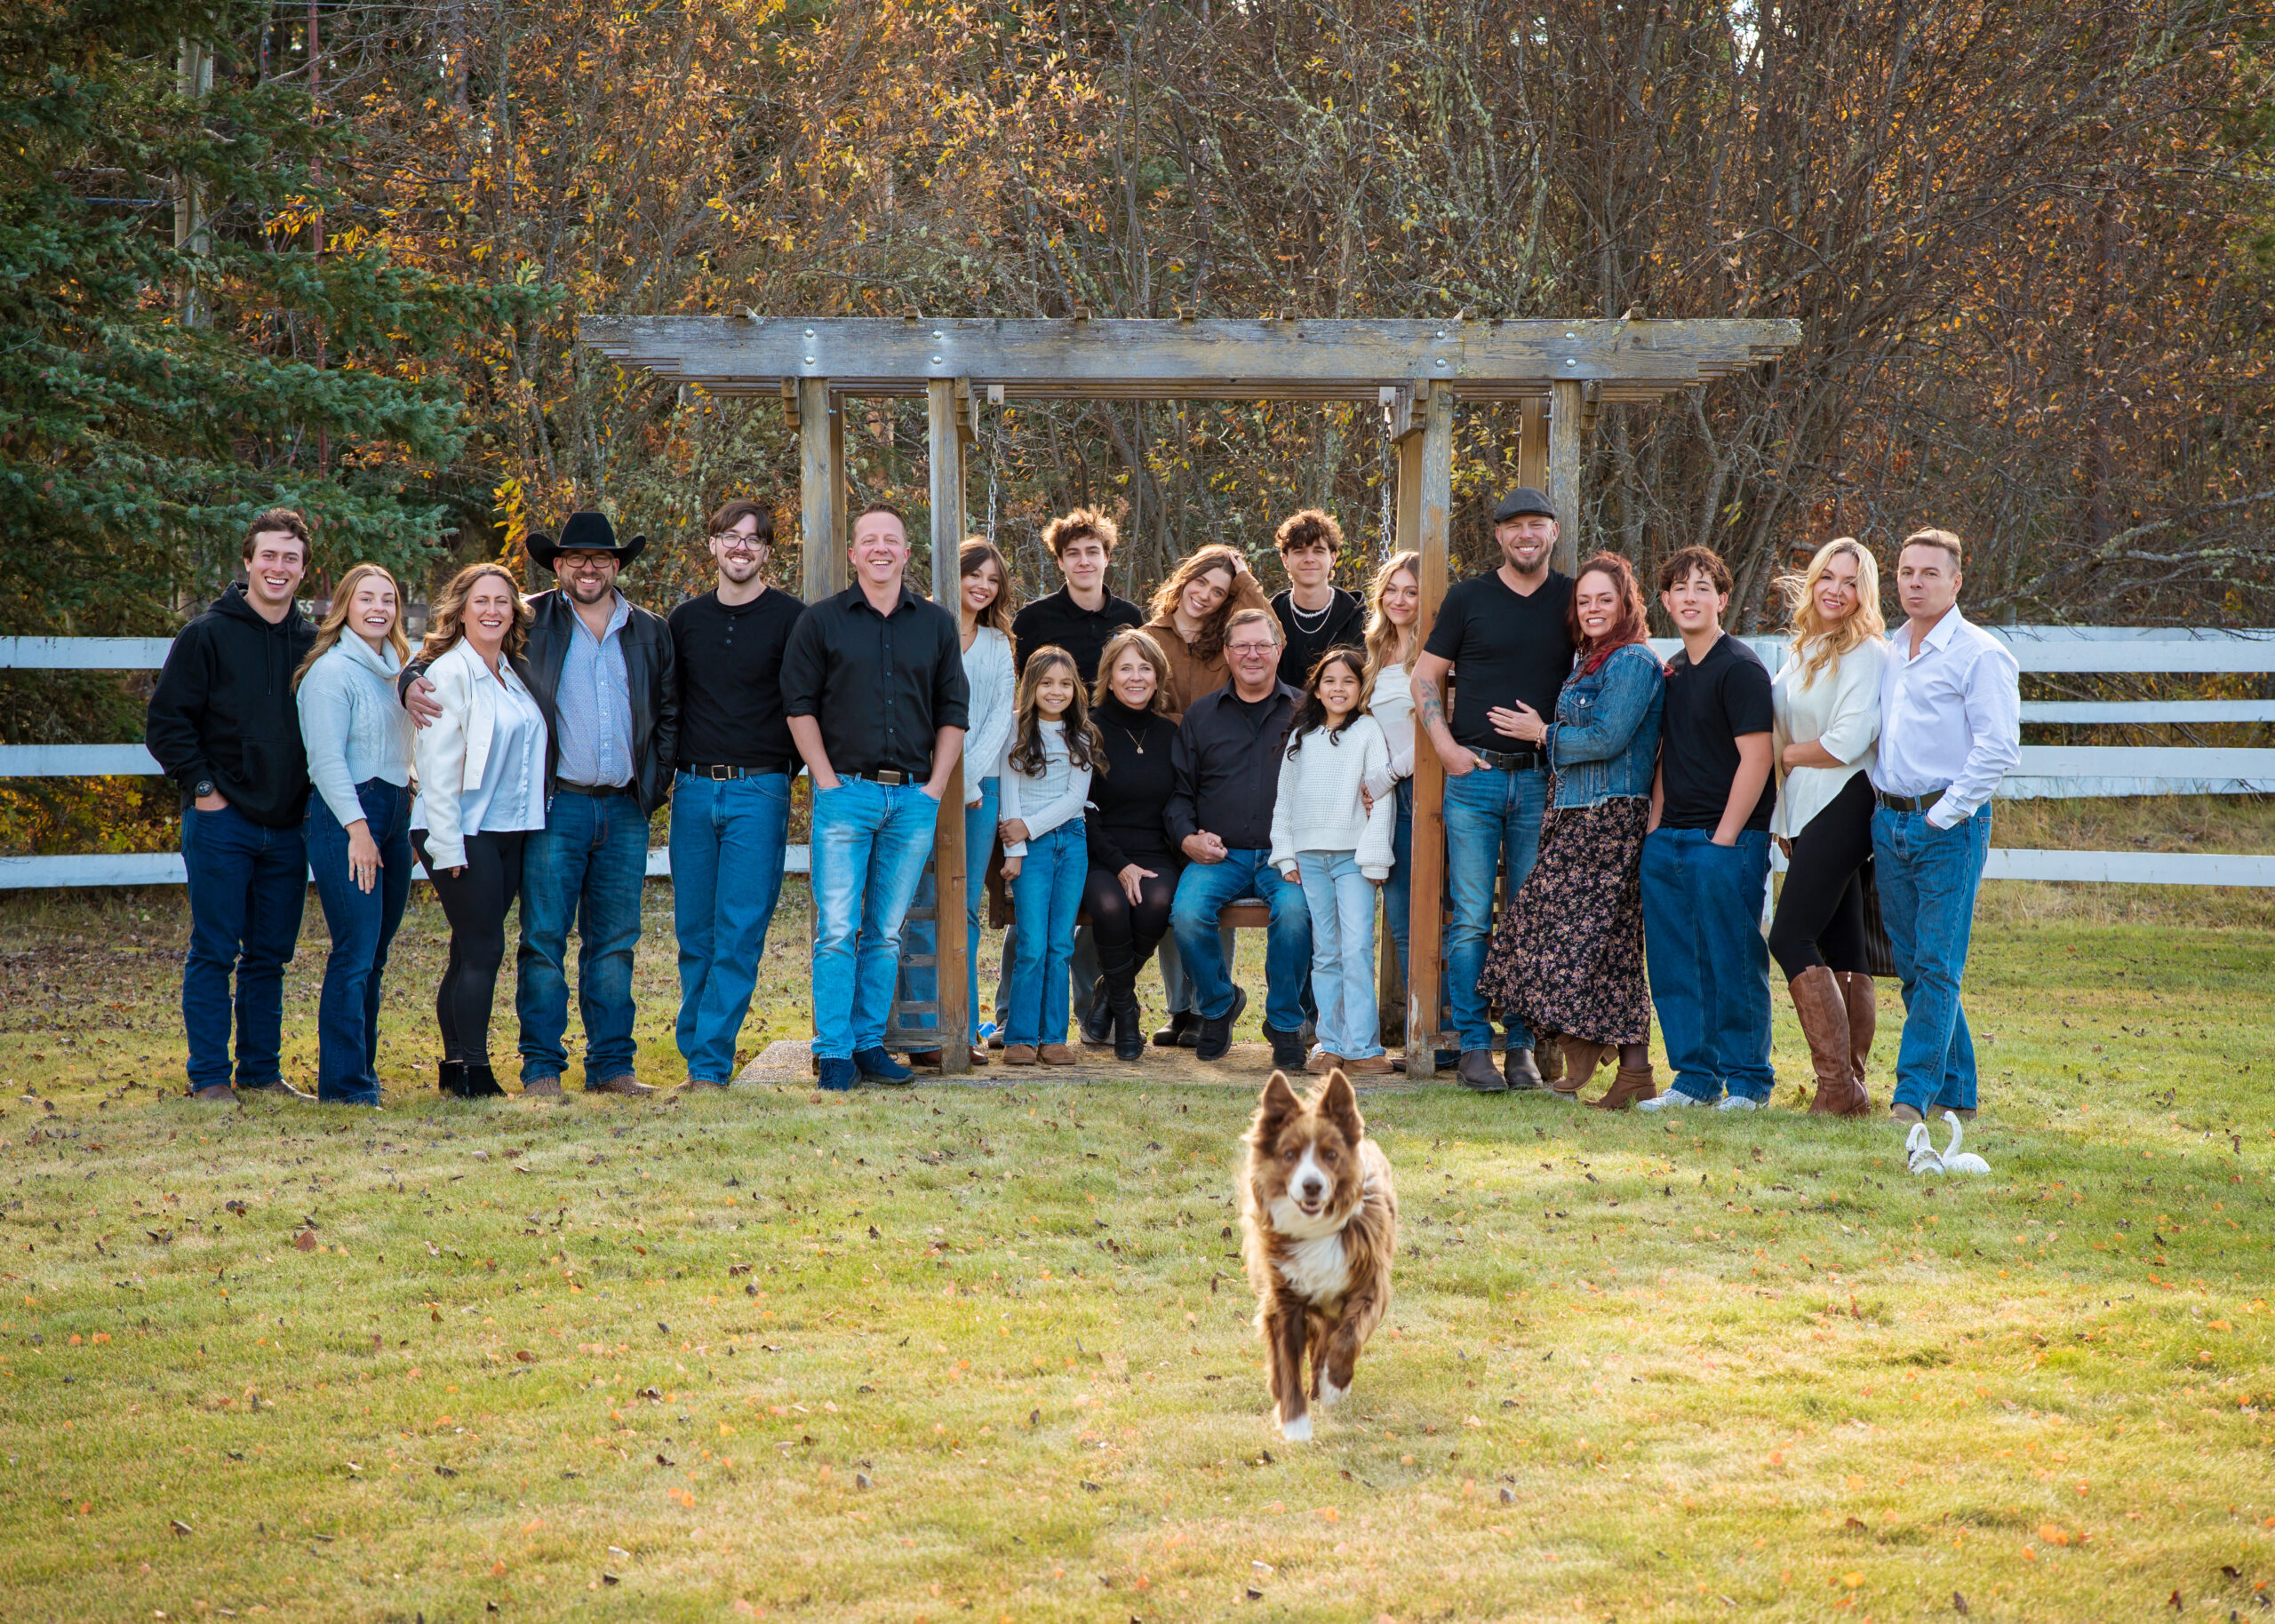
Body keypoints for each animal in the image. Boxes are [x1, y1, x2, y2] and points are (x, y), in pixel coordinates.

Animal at [1238, 1068, 1398, 1442]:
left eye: (1331, 1155)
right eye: (1289, 1155)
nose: (1312, 1186)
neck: (1316, 1230)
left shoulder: (1370, 1287)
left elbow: (1348, 1338)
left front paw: (1334, 1386)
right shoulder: (1284, 1303)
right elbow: (1286, 1365)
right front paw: (1295, 1423)